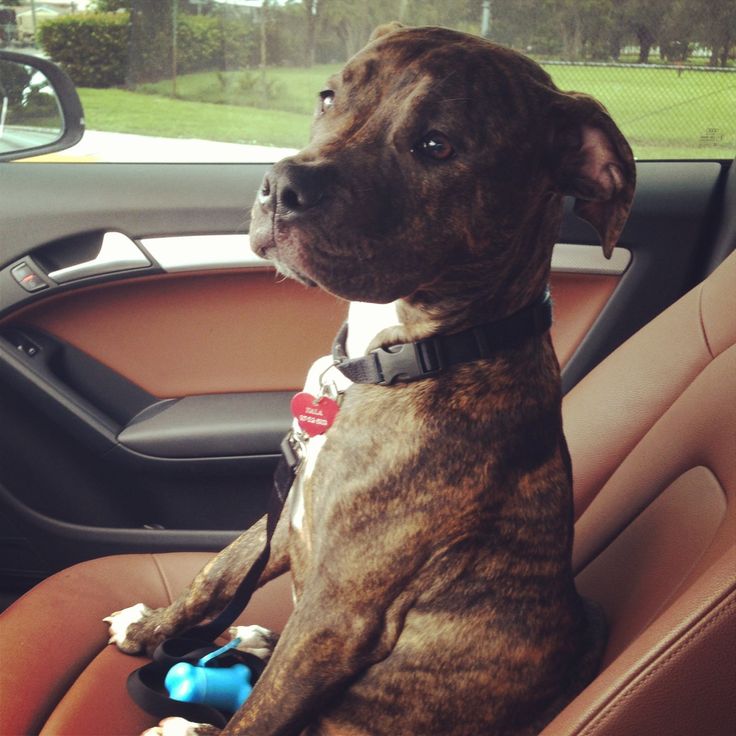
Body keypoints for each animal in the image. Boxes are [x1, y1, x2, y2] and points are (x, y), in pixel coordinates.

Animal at [106, 23, 636, 736]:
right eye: (329, 96)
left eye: (437, 145)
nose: (279, 185)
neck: (409, 353)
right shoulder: (291, 513)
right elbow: (216, 574)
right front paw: (150, 629)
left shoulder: (338, 612)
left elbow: (262, 711)